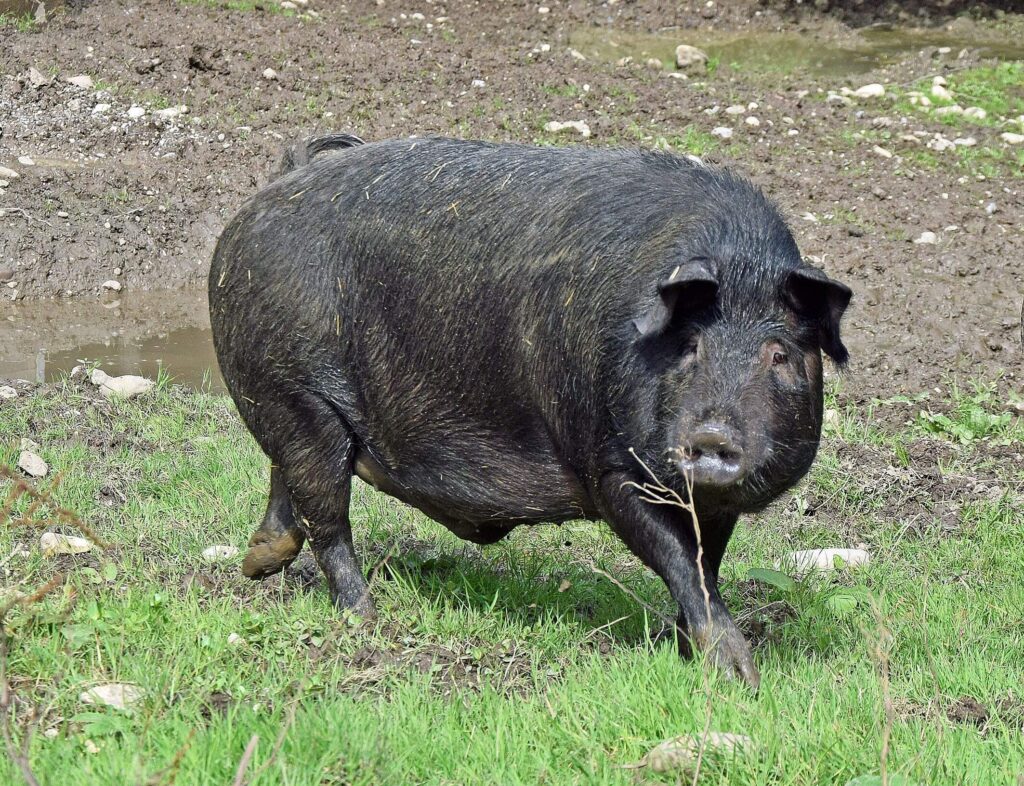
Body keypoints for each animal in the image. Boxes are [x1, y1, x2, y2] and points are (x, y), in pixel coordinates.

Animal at [208, 136, 852, 688]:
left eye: (780, 354)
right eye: (691, 345)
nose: (713, 434)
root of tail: (279, 182)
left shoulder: (711, 503)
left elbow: (703, 564)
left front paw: (684, 649)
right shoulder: (609, 466)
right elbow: (678, 559)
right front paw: (741, 676)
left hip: (289, 401)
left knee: (291, 478)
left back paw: (257, 563)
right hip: (295, 392)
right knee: (327, 512)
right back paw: (364, 619)